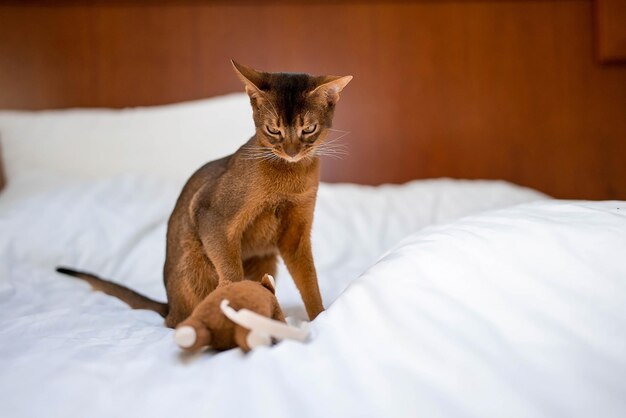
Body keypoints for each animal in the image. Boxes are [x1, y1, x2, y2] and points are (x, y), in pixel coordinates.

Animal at [56, 60, 352, 326]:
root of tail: (169, 306)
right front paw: (237, 305)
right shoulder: (210, 214)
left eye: (308, 129)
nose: (291, 152)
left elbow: (309, 280)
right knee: (180, 321)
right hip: (196, 260)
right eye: (273, 130)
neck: (290, 174)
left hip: (264, 260)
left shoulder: (296, 233)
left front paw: (320, 318)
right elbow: (231, 272)